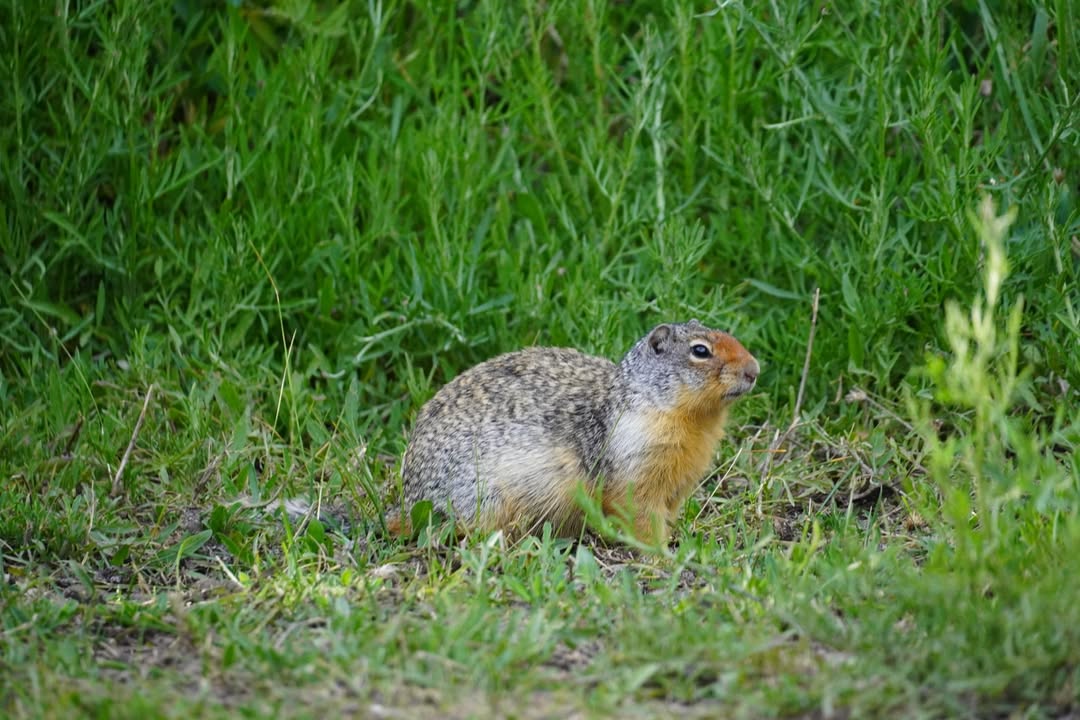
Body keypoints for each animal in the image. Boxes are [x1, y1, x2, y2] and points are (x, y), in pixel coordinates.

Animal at [390, 320, 759, 545]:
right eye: (700, 350)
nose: (754, 369)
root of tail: (408, 502)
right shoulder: (636, 465)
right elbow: (639, 514)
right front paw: (661, 555)